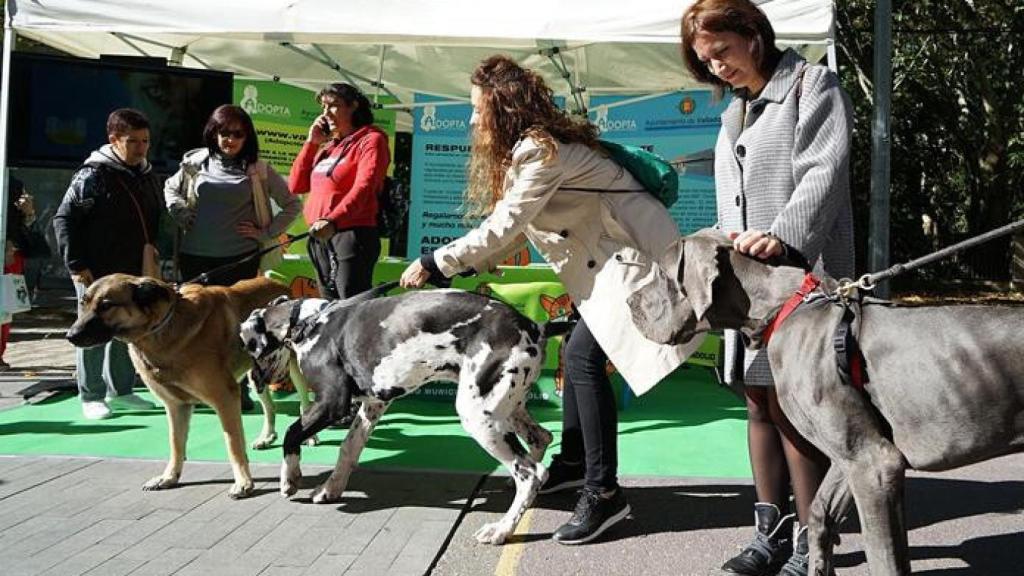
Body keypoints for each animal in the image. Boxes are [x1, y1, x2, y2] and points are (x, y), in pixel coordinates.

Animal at [65, 270, 288, 496]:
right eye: (83, 303)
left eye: (106, 305)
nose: (70, 336)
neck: (162, 326)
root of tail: (278, 282)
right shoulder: (176, 405)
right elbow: (176, 442)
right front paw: (169, 477)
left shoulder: (225, 398)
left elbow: (232, 442)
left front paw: (243, 481)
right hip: (256, 377)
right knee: (270, 407)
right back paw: (267, 437)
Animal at [242, 282, 573, 541]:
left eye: (248, 348)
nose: (253, 381)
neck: (313, 322)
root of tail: (535, 327)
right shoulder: (373, 404)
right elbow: (349, 448)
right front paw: (331, 488)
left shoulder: (332, 402)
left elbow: (292, 432)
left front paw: (289, 478)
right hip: (507, 409)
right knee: (541, 439)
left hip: (478, 416)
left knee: (530, 473)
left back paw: (502, 529)